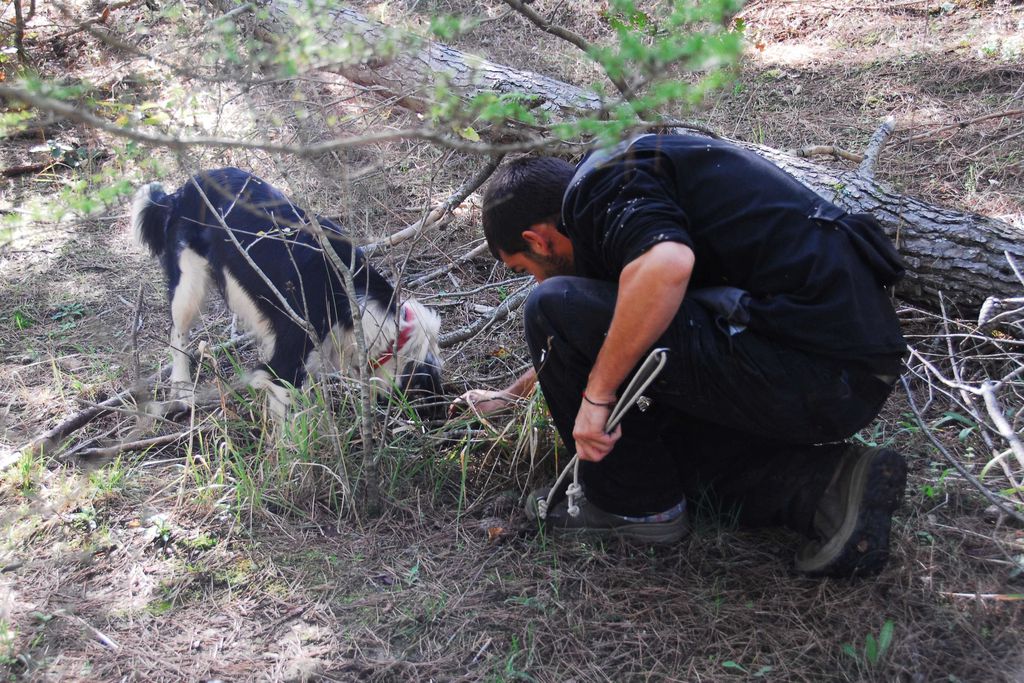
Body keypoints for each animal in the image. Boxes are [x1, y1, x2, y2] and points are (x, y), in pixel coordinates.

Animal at [130, 167, 442, 419]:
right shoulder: (284, 365)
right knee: (177, 333)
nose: (441, 413)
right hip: (189, 284)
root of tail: (181, 190)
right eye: (425, 393)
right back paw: (182, 391)